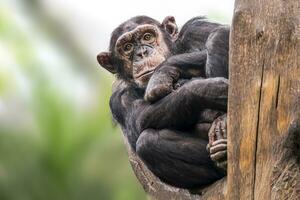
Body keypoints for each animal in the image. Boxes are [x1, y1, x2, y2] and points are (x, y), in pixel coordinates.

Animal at [97, 15, 229, 189]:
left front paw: (163, 72)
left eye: (147, 37)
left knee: (218, 35)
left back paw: (223, 123)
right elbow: (140, 118)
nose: (142, 53)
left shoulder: (196, 29)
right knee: (148, 141)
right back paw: (221, 156)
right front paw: (209, 89)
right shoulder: (119, 99)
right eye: (127, 47)